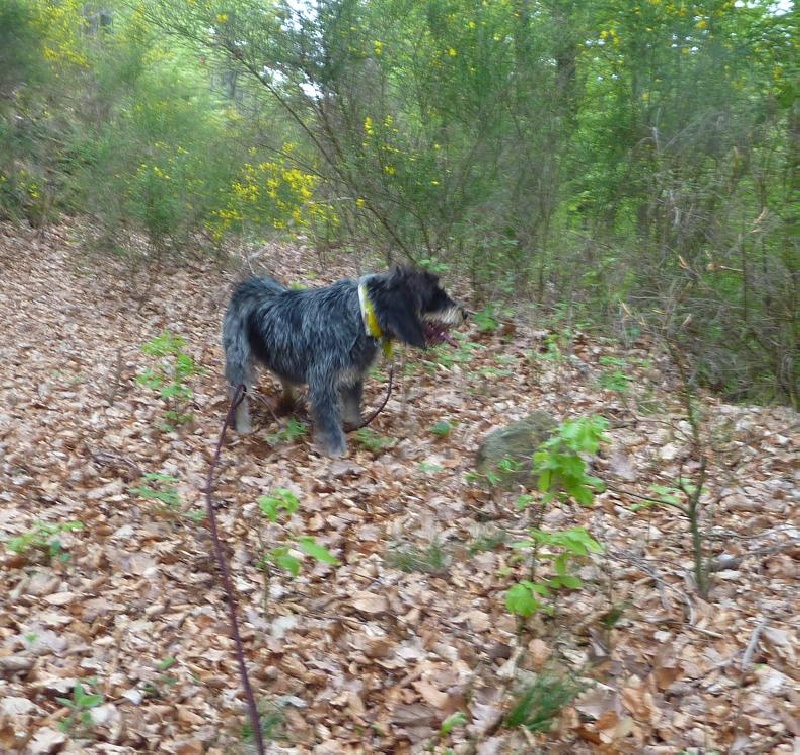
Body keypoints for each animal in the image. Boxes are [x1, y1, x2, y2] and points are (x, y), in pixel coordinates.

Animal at [222, 268, 466, 454]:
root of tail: (247, 285)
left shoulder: (353, 375)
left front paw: (358, 429)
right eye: (435, 297)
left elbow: (353, 409)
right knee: (238, 396)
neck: (361, 314)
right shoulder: (323, 383)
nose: (465, 313)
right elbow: (331, 424)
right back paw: (243, 425)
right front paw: (337, 453)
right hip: (239, 362)